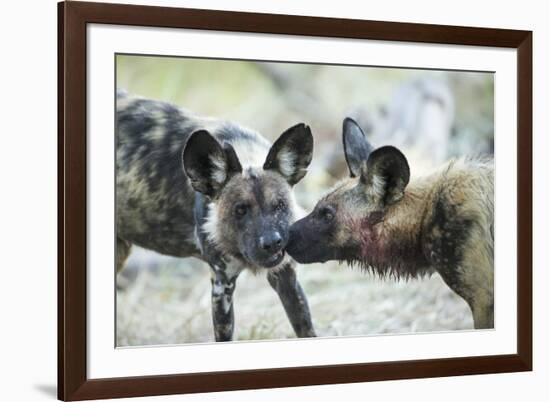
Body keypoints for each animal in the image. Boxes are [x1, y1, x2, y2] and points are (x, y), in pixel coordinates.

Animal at [115, 90, 320, 340]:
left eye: (279, 205)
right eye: (240, 210)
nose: (272, 243)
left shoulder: (286, 276)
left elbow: (306, 328)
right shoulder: (222, 286)